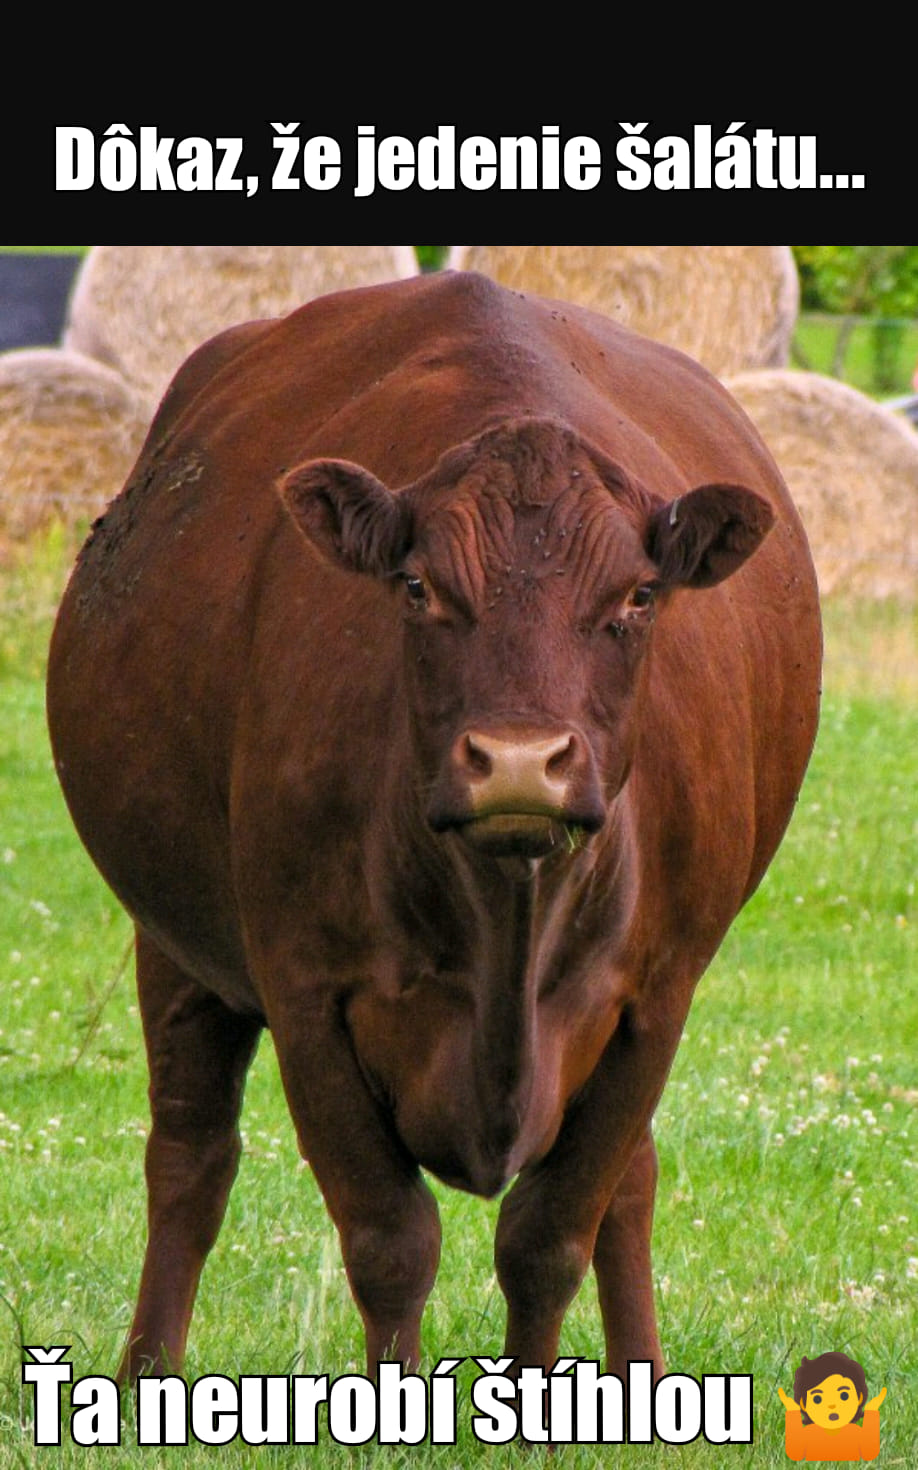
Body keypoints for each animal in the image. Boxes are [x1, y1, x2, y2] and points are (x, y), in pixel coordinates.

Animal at [46, 269, 821, 1389]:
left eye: (638, 595)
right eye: (418, 588)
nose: (519, 762)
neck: (502, 922)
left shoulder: (653, 1002)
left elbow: (551, 1238)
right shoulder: (307, 994)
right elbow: (390, 1242)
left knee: (629, 1189)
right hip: (176, 942)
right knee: (190, 1157)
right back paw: (146, 1375)